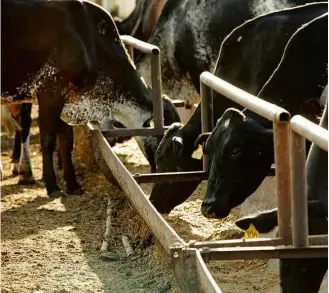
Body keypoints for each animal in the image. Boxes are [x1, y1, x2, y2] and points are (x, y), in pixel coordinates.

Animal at [0, 0, 177, 197]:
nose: (163, 172)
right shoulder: (50, 94)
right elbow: (48, 140)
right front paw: (53, 187)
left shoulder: (67, 100)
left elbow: (66, 140)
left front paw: (72, 184)